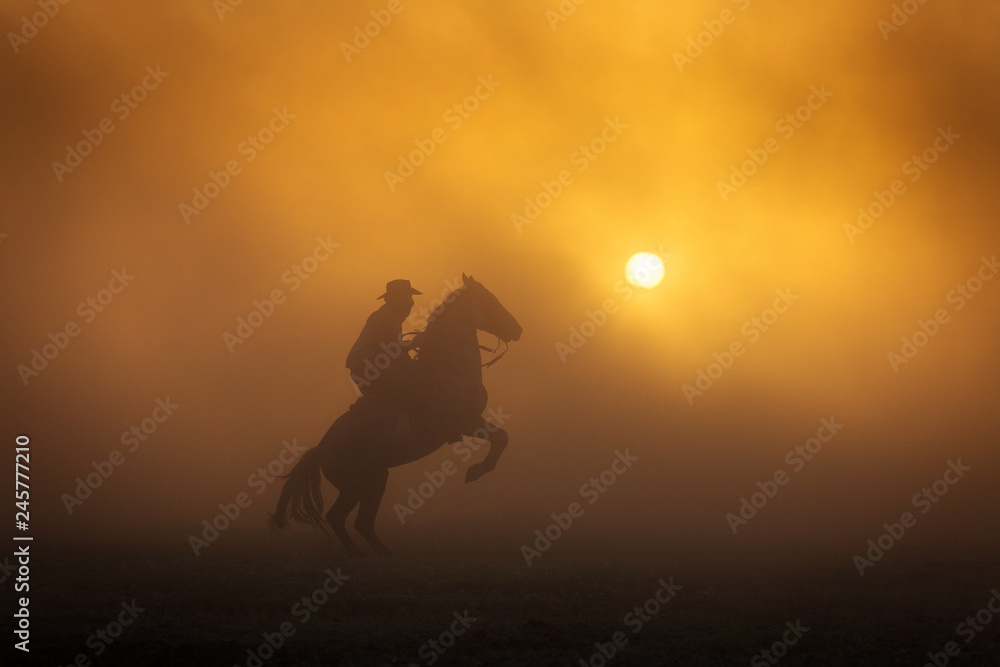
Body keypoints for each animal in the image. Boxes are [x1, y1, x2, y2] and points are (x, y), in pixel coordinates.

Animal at [274, 274, 524, 556]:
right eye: (490, 300)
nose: (517, 330)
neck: (449, 367)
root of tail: (320, 449)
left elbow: (502, 438)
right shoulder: (466, 422)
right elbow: (501, 438)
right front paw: (476, 471)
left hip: (376, 478)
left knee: (360, 522)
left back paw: (383, 555)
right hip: (356, 483)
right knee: (339, 517)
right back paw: (364, 555)